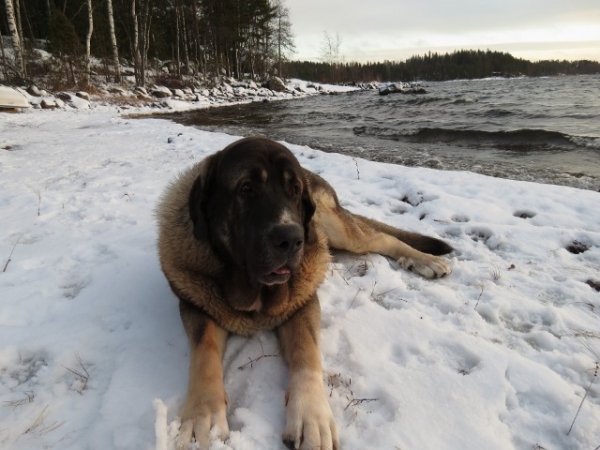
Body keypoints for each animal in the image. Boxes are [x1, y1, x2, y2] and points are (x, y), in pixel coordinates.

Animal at [157, 137, 452, 450]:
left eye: (295, 191)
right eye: (246, 188)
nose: (291, 239)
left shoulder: (303, 304)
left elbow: (306, 351)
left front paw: (312, 417)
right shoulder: (196, 307)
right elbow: (204, 355)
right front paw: (204, 417)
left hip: (338, 229)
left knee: (382, 238)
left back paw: (426, 261)